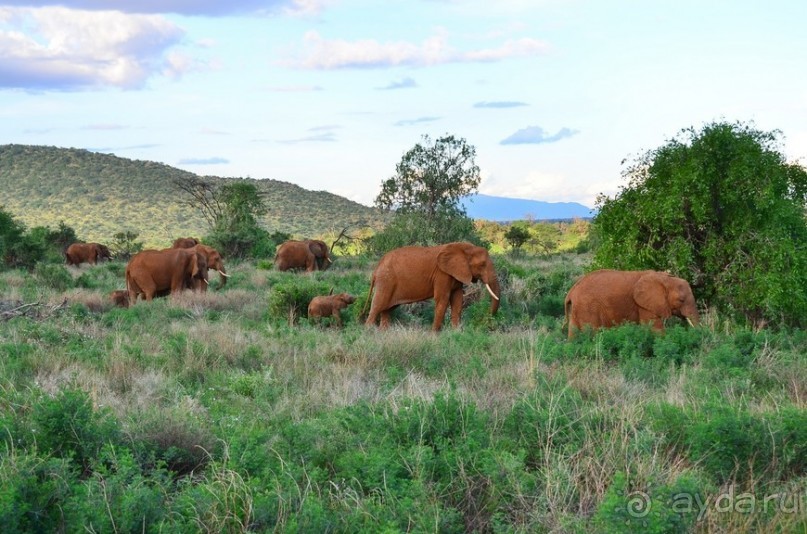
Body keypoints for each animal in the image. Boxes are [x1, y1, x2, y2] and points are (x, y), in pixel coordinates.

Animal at [364, 242, 498, 330]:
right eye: (482, 265)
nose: (488, 322)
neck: (465, 248)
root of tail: (376, 268)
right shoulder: (442, 274)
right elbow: (442, 299)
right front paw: (434, 336)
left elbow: (457, 299)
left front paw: (456, 333)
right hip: (386, 281)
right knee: (377, 306)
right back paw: (368, 332)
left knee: (386, 309)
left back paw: (383, 333)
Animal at [560, 270, 700, 338]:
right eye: (681, 300)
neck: (664, 278)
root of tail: (571, 292)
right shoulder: (643, 305)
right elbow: (654, 328)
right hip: (587, 308)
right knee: (592, 332)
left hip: (578, 308)